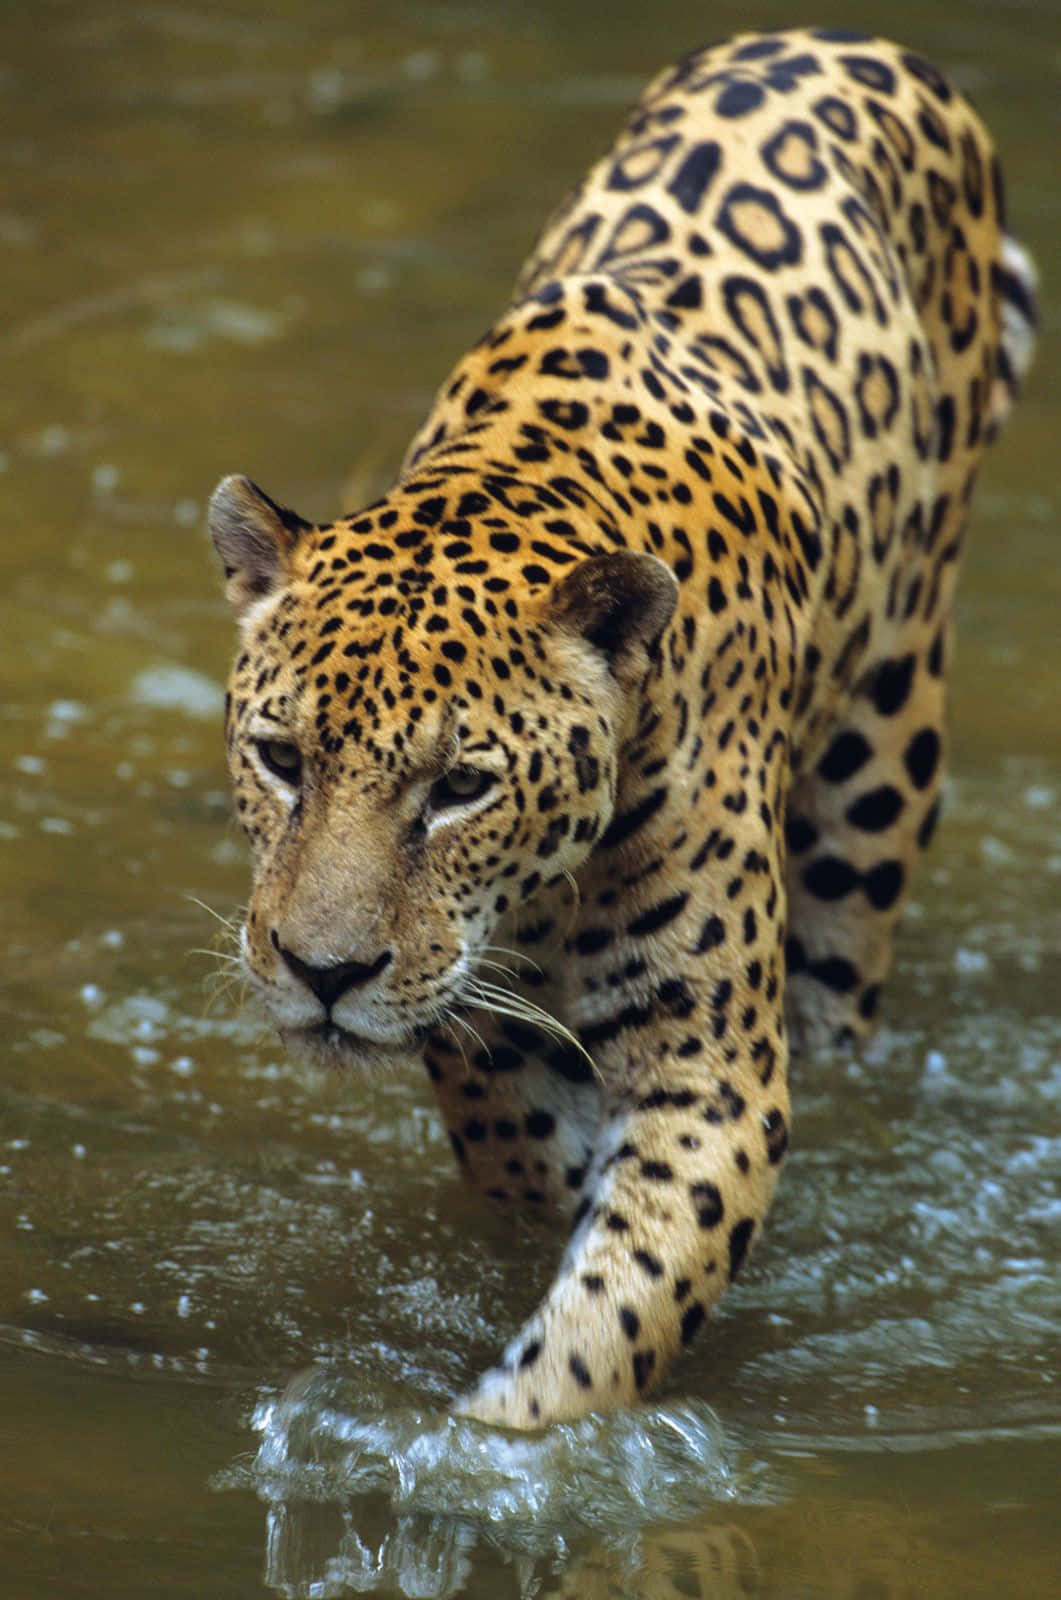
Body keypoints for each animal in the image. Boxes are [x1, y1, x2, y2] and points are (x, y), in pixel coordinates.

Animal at [208, 27, 1037, 1429]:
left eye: (460, 785)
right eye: (280, 760)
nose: (322, 974)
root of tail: (846, 40)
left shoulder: (710, 1073)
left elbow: (623, 1298)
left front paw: (501, 1443)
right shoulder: (474, 1014)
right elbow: (519, 1151)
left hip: (879, 767)